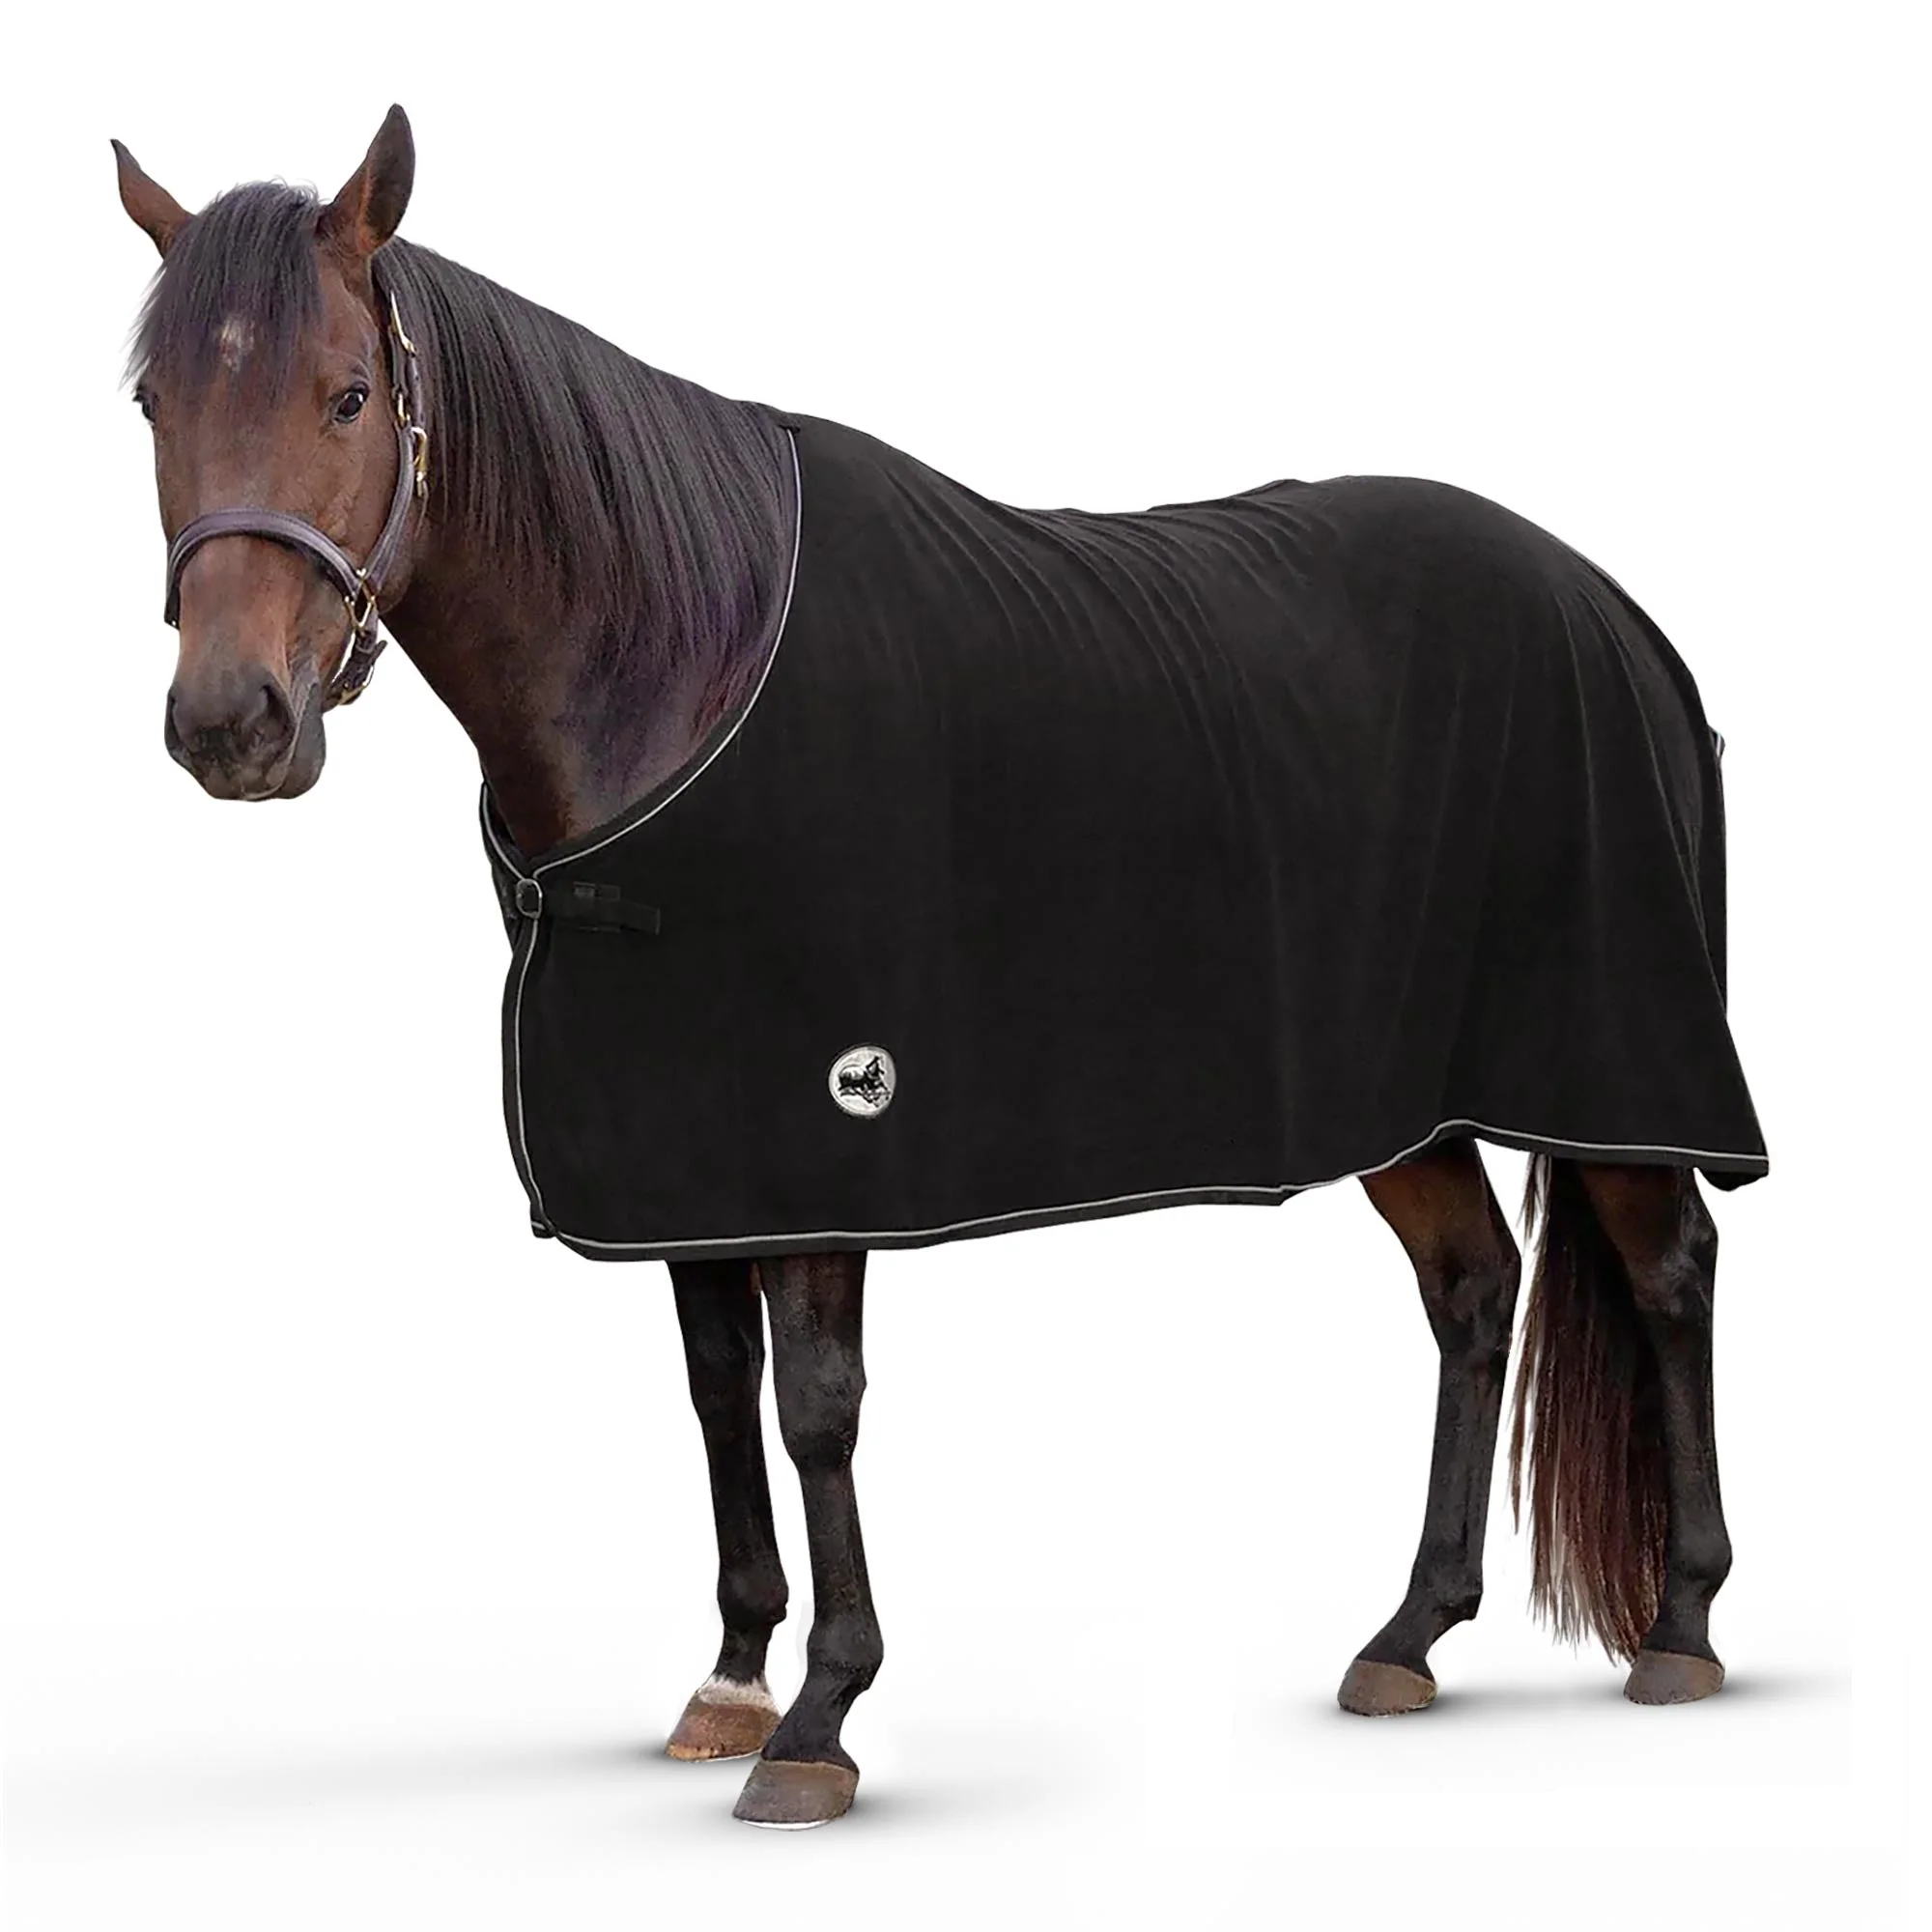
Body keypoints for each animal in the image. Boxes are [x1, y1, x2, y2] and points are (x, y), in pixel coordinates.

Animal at [113, 106, 1765, 1830]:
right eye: (155, 401)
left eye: (347, 394)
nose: (231, 727)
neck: (681, 664)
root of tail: (1611, 609)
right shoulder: (687, 1149)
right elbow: (718, 1390)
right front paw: (731, 1678)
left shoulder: (829, 1132)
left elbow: (815, 1406)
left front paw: (820, 1721)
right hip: (1406, 1098)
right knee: (1472, 1291)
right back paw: (1410, 1635)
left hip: (1610, 1058)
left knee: (1670, 1271)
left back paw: (1682, 1626)